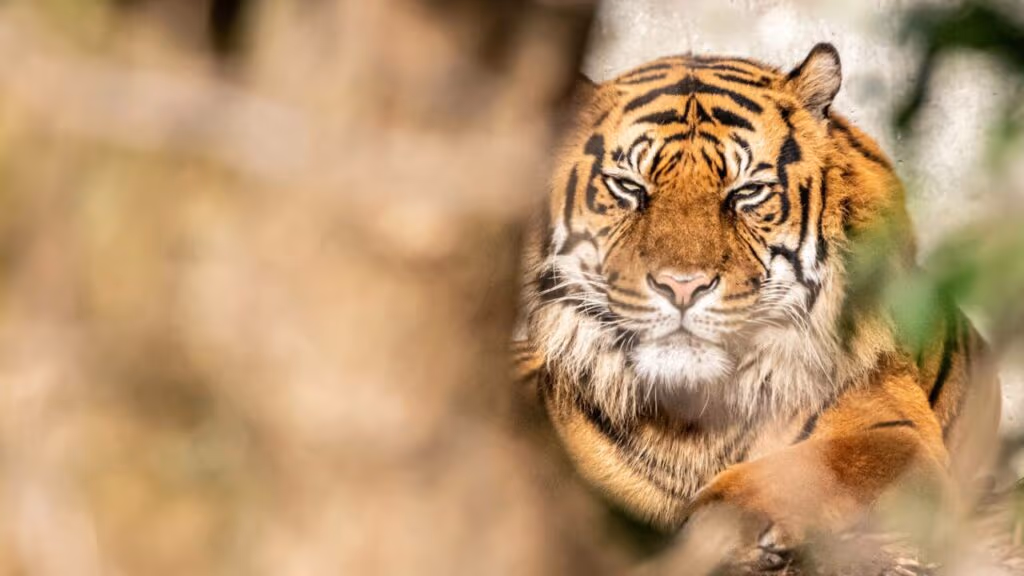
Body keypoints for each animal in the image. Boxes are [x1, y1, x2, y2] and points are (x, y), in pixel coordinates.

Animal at [514, 43, 1002, 565]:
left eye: (747, 193)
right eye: (628, 187)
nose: (681, 286)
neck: (689, 420)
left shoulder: (898, 433)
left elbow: (820, 466)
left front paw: (721, 524)